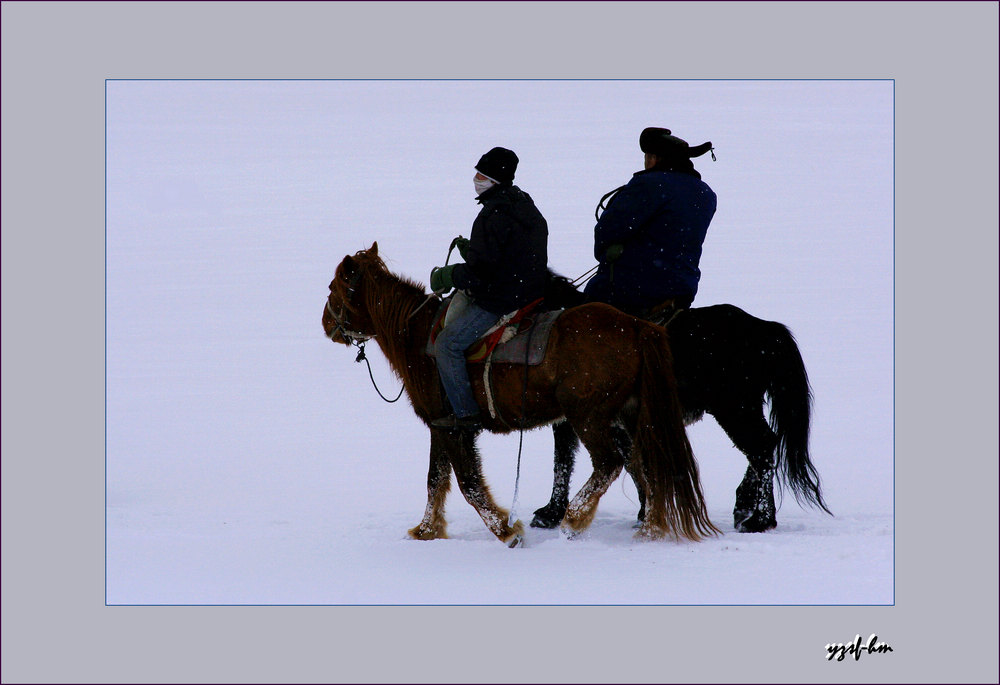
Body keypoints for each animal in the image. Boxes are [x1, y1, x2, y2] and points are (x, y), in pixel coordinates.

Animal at [324, 243, 724, 548]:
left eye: (334, 290)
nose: (326, 324)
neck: (419, 340)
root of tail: (637, 325)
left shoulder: (455, 429)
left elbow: (469, 485)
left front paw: (506, 531)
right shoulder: (439, 426)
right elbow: (435, 481)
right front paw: (426, 531)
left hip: (589, 416)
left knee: (609, 463)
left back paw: (574, 518)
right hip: (630, 415)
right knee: (648, 465)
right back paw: (650, 527)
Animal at [536, 280, 832, 536]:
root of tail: (763, 328)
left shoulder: (580, 421)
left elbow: (564, 462)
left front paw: (553, 513)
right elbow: (629, 463)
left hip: (735, 408)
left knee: (761, 447)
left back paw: (760, 518)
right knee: (766, 445)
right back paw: (745, 505)